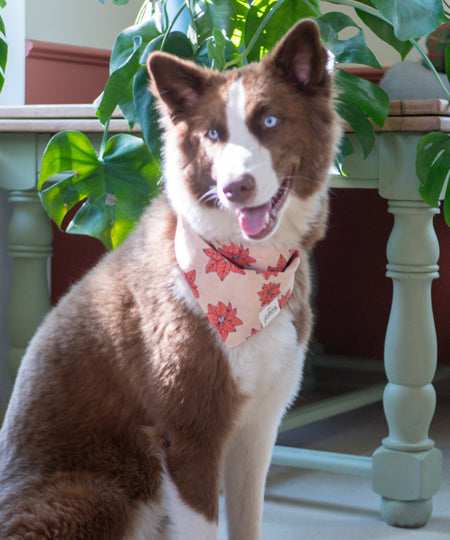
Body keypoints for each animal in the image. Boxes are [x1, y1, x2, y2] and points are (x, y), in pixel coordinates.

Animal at [0, 19, 338, 536]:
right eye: (213, 133)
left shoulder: (257, 430)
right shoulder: (190, 435)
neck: (247, 271)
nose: (235, 188)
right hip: (100, 493)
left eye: (270, 121)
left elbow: (248, 522)